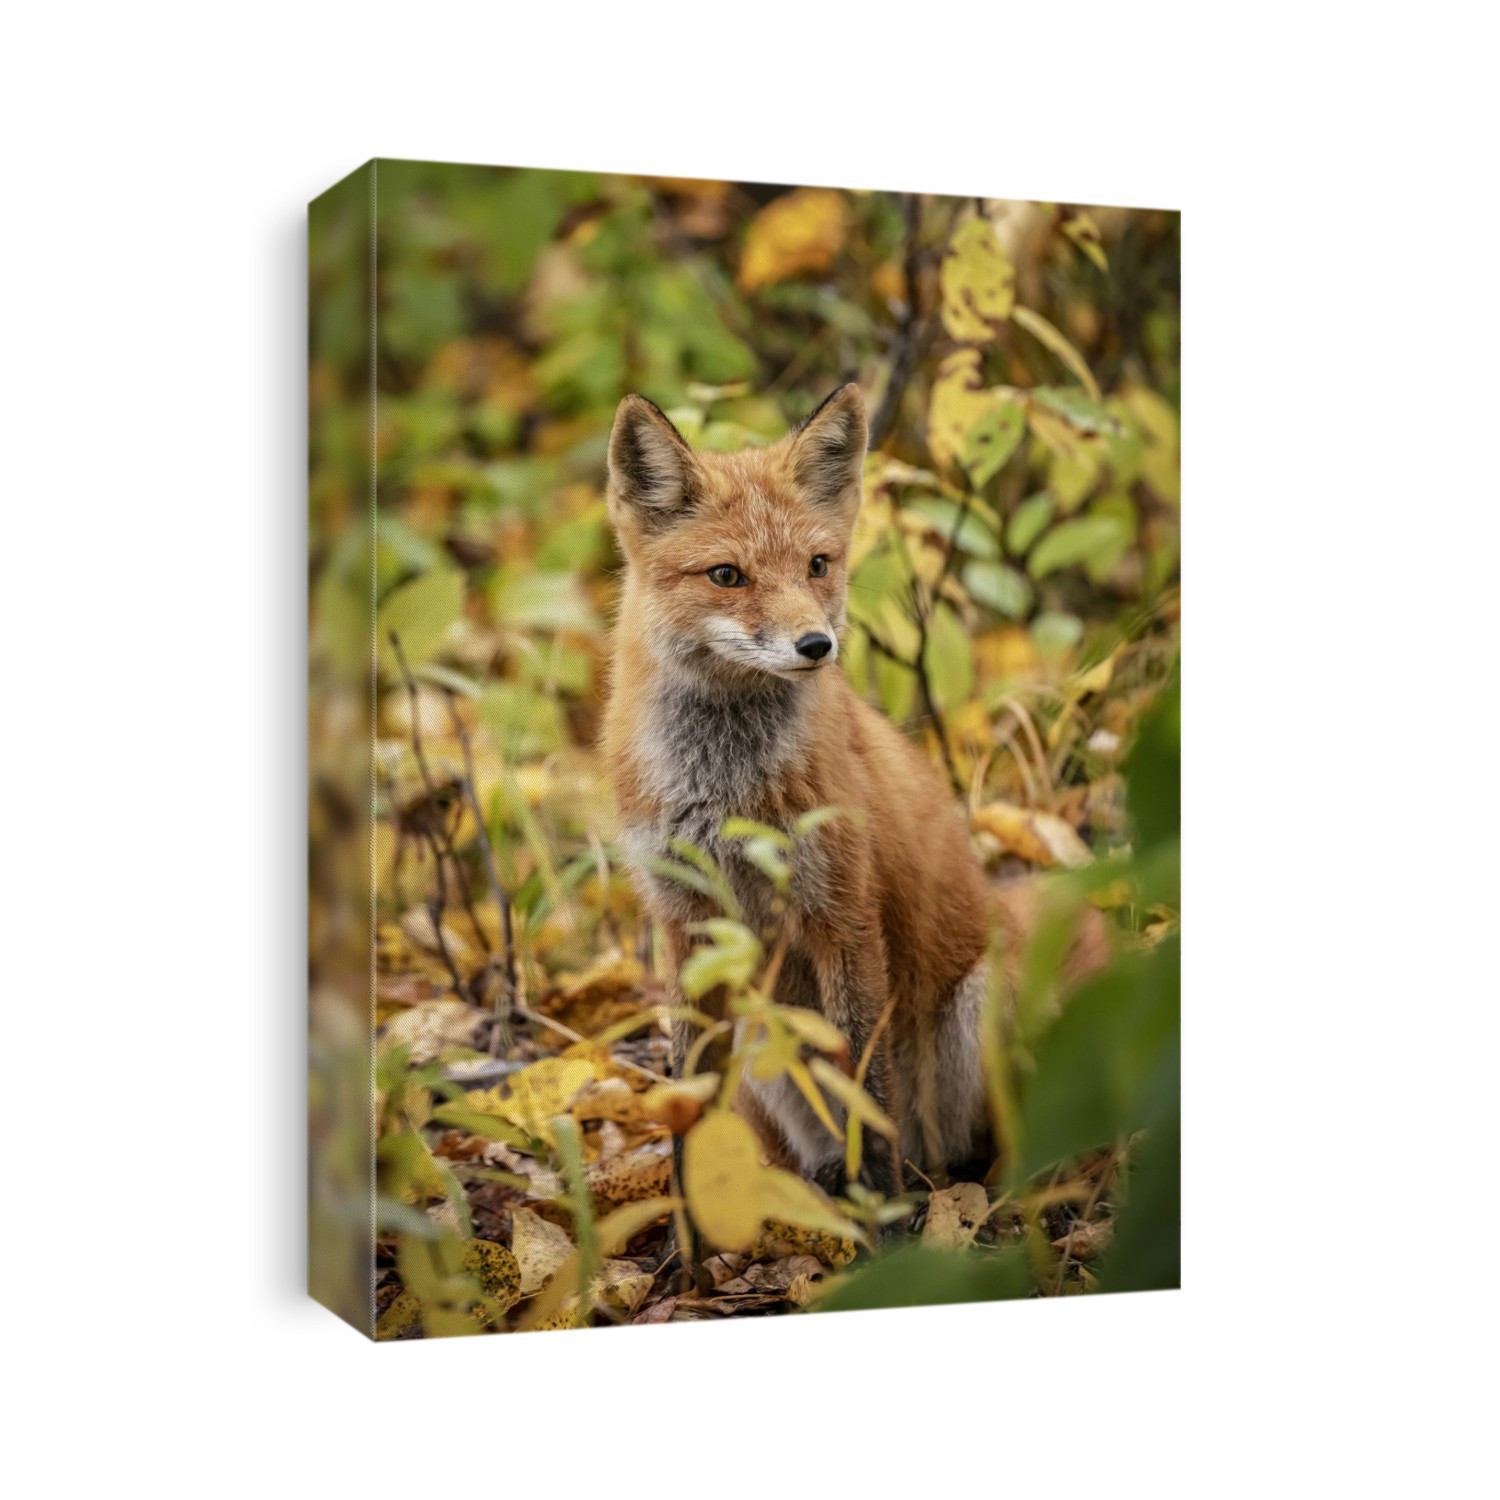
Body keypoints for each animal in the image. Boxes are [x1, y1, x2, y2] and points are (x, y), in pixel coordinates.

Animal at [601, 383, 1100, 1205]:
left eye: (817, 565)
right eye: (727, 575)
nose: (816, 646)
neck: (722, 789)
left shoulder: (845, 913)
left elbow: (865, 1077)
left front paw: (883, 1213)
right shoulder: (686, 927)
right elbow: (689, 1104)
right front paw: (690, 1230)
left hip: (980, 1009)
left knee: (970, 1152)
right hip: (759, 1026)